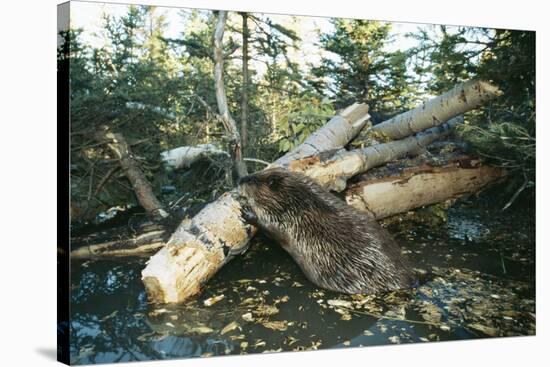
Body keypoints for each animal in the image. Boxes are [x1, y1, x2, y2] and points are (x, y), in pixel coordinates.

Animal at [236, 168, 414, 294]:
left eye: (251, 180)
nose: (240, 179)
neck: (300, 203)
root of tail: (411, 279)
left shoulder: (289, 220)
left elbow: (271, 228)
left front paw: (245, 211)